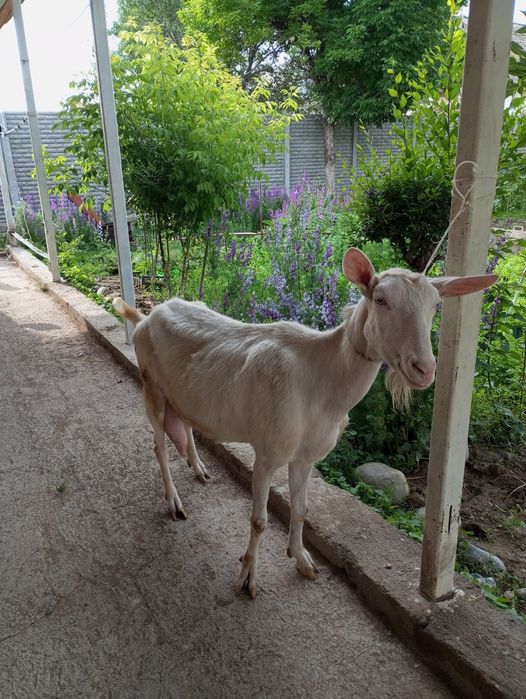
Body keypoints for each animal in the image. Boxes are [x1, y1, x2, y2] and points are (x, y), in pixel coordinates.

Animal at [113, 247, 497, 598]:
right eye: (380, 299)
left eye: (435, 306)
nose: (424, 369)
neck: (320, 381)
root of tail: (146, 315)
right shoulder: (267, 452)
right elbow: (259, 520)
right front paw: (247, 579)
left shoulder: (306, 455)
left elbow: (301, 510)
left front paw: (302, 560)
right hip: (152, 386)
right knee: (159, 445)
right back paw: (174, 502)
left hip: (183, 394)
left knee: (187, 424)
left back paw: (199, 468)